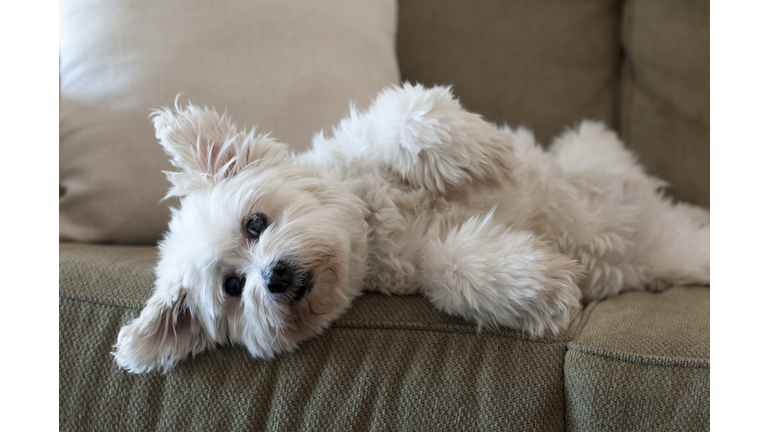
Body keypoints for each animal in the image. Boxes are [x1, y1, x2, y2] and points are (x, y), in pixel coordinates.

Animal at [111, 83, 712, 372]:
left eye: (255, 223)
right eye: (233, 287)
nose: (274, 277)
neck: (375, 224)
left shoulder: (381, 135)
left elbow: (406, 117)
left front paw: (485, 154)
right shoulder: (424, 266)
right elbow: (453, 267)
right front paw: (541, 288)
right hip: (681, 250)